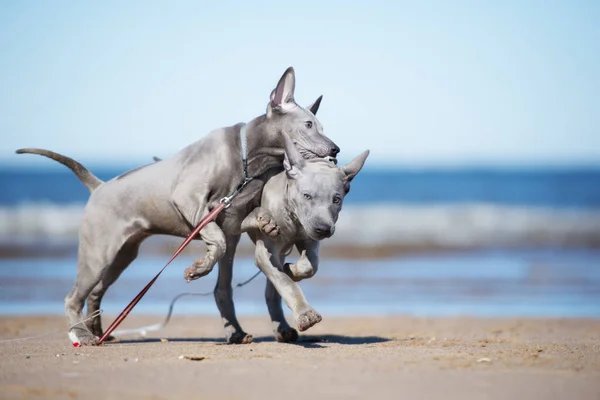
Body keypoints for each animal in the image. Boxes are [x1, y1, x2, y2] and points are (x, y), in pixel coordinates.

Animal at [16, 67, 340, 346]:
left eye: (322, 127)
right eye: (309, 125)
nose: (335, 149)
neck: (249, 158)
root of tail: (100, 186)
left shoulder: (233, 217)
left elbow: (239, 227)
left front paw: (266, 222)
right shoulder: (190, 199)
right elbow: (216, 240)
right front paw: (199, 267)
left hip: (122, 254)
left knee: (96, 292)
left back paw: (99, 332)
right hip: (98, 253)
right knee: (74, 296)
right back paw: (81, 335)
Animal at [240, 133, 370, 342]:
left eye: (336, 199)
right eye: (307, 195)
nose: (323, 229)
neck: (294, 216)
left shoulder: (309, 239)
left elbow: (310, 266)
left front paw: (292, 270)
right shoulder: (265, 251)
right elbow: (285, 282)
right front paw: (305, 314)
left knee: (272, 288)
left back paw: (282, 328)